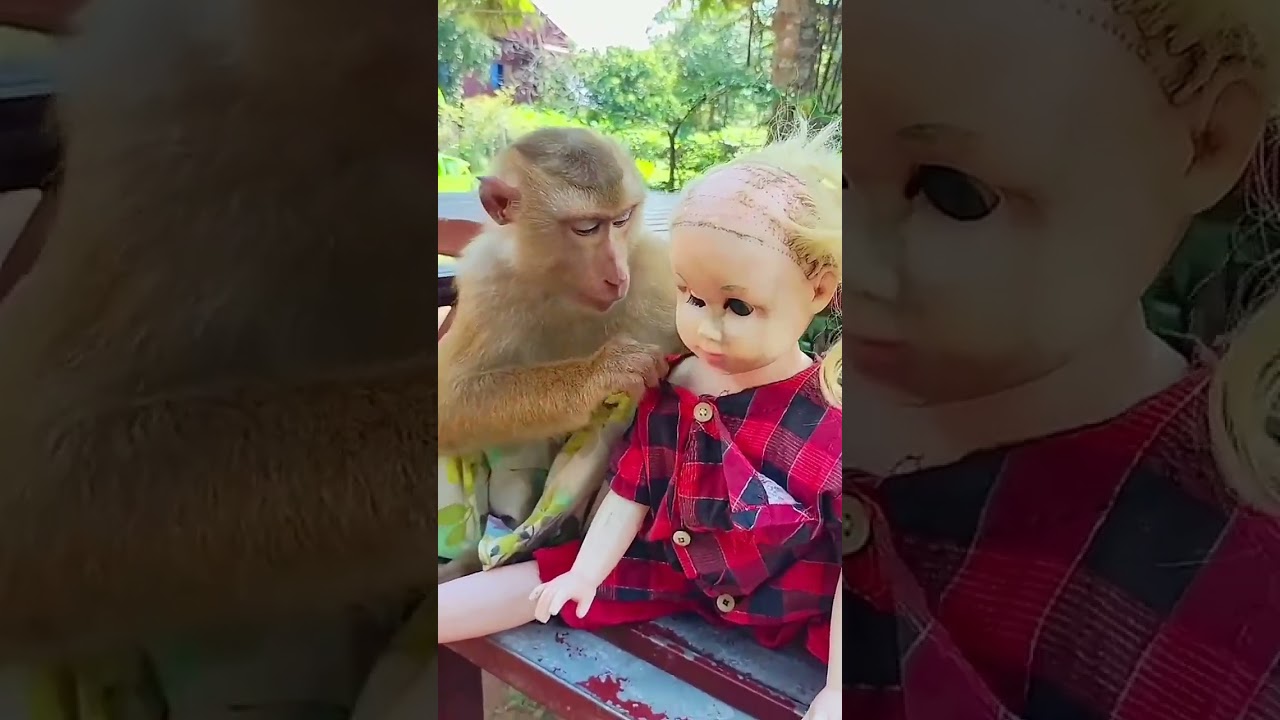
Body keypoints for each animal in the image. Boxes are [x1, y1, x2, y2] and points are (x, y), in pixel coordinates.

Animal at [435, 127, 685, 582]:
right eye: (586, 228)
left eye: (621, 220)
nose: (616, 275)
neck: (566, 294)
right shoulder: (487, 282)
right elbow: (448, 399)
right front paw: (605, 371)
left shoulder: (653, 270)